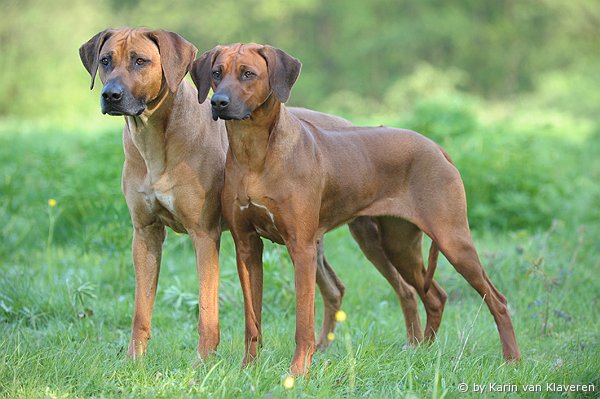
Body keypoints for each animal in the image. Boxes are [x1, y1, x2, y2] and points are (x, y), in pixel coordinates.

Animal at [79, 27, 434, 360]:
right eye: (105, 60)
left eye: (140, 60)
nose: (111, 95)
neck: (156, 141)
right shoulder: (145, 233)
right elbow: (141, 311)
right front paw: (133, 362)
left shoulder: (204, 234)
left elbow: (207, 312)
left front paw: (202, 363)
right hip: (320, 238)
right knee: (336, 289)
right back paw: (325, 349)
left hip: (371, 234)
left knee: (405, 288)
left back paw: (414, 345)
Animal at [191, 45, 520, 376]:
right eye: (217, 73)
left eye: (248, 73)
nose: (218, 102)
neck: (255, 154)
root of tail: (436, 147)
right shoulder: (246, 246)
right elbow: (252, 320)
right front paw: (249, 368)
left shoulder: (302, 247)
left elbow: (303, 323)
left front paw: (298, 372)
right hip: (395, 244)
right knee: (435, 296)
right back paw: (422, 352)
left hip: (452, 239)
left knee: (497, 299)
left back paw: (512, 360)